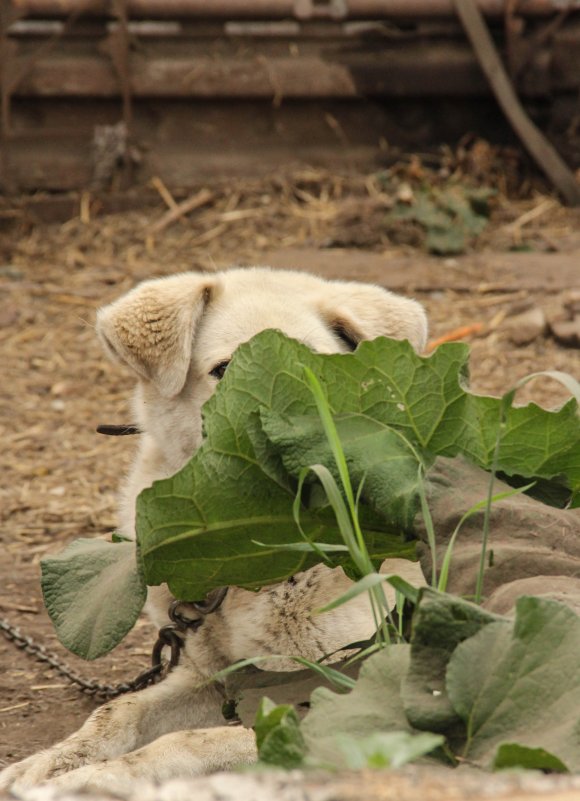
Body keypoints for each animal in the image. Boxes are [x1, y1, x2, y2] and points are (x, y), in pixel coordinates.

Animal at [0, 268, 426, 792]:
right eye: (224, 370)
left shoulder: (349, 711)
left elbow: (186, 743)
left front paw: (96, 779)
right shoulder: (207, 676)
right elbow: (118, 711)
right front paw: (49, 763)